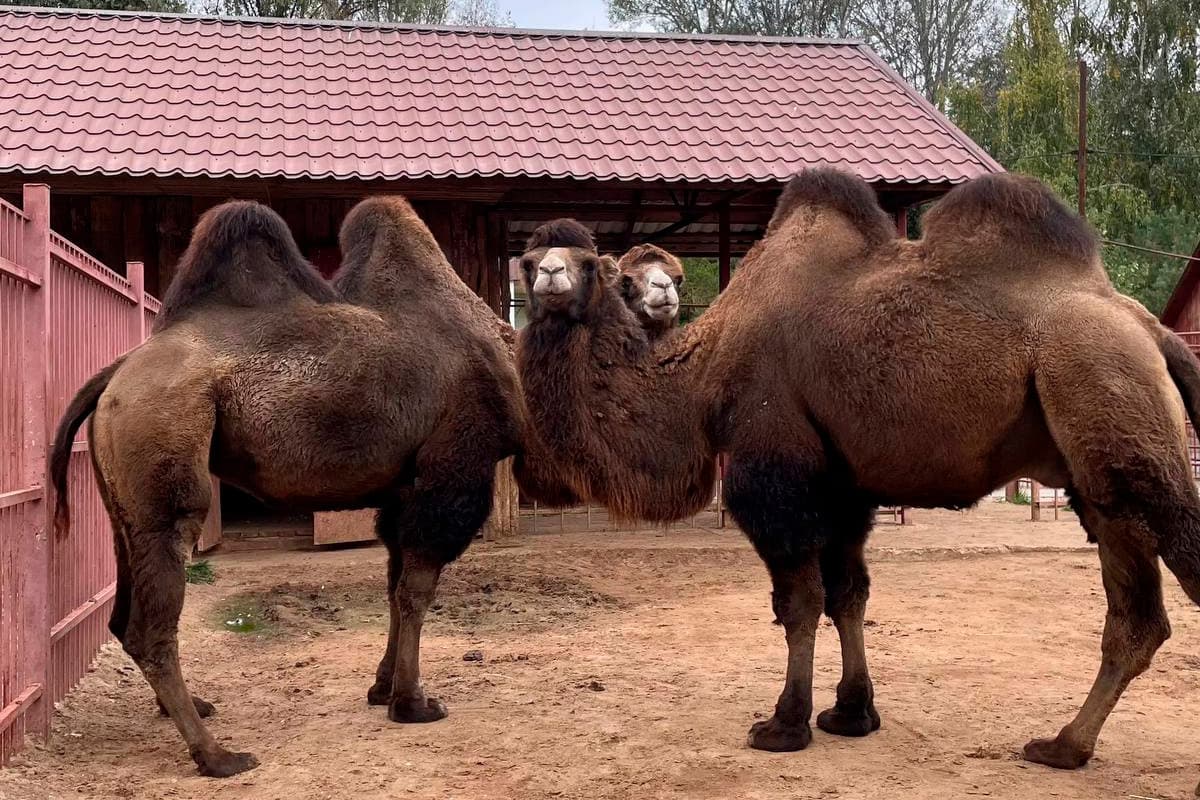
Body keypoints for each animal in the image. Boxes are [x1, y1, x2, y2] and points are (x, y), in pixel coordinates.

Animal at [49, 197, 522, 777]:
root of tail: (114, 376)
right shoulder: (449, 471)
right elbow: (416, 592)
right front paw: (413, 703)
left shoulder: (402, 488)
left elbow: (393, 585)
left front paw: (382, 688)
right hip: (162, 443)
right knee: (151, 619)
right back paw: (217, 754)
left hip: (123, 503)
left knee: (122, 611)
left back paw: (192, 710)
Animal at [513, 168, 1200, 777]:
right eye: (529, 259)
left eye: (588, 263)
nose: (549, 276)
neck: (705, 373)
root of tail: (1151, 331)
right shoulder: (844, 490)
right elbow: (849, 594)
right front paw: (851, 714)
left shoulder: (775, 474)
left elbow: (798, 603)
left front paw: (784, 724)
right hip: (1099, 475)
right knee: (1136, 614)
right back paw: (1063, 746)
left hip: (1106, 392)